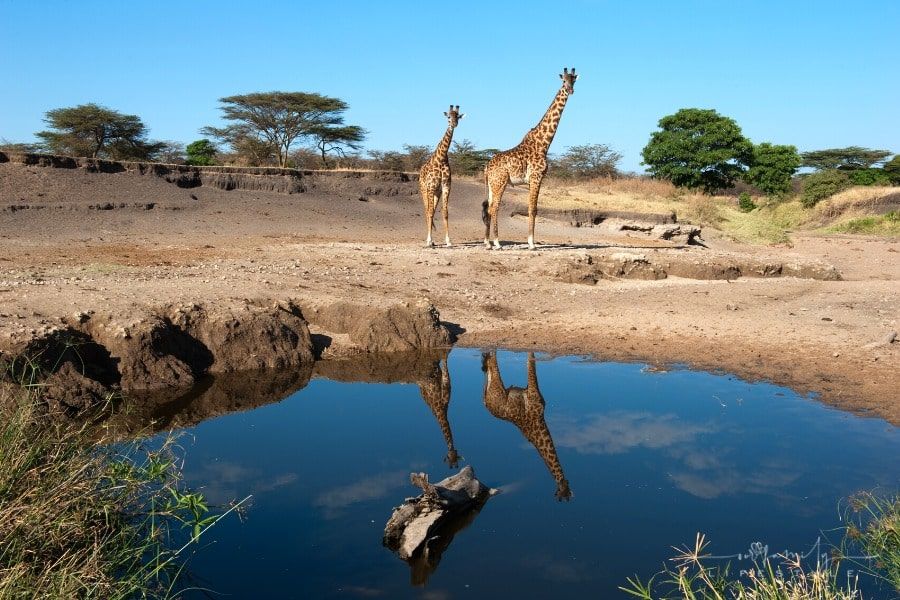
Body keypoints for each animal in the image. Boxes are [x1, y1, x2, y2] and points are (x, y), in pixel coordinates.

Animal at [419, 105, 464, 247]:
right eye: (448, 117)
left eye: (458, 116)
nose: (453, 124)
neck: (441, 158)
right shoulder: (431, 187)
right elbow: (429, 212)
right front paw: (429, 240)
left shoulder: (445, 187)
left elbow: (445, 213)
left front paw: (448, 241)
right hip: (424, 190)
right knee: (427, 211)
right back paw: (429, 240)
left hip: (436, 193)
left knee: (432, 211)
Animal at [481, 351, 572, 501]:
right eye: (565, 494)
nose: (569, 494)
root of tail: (487, 404)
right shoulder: (533, 390)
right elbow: (531, 364)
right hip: (498, 387)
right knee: (494, 364)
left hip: (492, 388)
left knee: (488, 371)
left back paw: (484, 358)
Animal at [482, 68, 578, 250]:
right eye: (563, 81)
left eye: (574, 80)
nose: (570, 90)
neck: (543, 143)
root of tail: (487, 168)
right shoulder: (536, 177)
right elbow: (532, 209)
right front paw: (532, 243)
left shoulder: (532, 181)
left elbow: (532, 209)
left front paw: (531, 241)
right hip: (500, 182)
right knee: (494, 208)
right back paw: (497, 243)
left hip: (491, 185)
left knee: (488, 207)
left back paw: (487, 242)